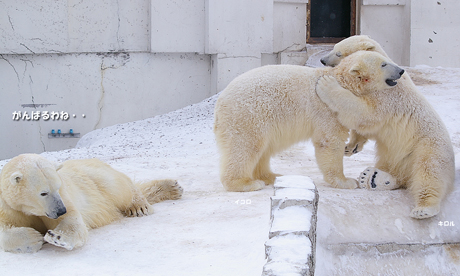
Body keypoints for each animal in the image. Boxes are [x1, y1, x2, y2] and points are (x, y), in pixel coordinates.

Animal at [0, 154, 183, 253]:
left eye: (57, 187)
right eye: (43, 192)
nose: (60, 211)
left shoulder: (65, 196)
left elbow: (73, 220)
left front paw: (57, 236)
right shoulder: (7, 206)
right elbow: (4, 228)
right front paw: (33, 238)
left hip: (95, 177)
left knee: (118, 186)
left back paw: (140, 205)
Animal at [214, 49, 404, 192]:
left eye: (386, 60)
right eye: (383, 64)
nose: (401, 70)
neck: (341, 81)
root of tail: (220, 102)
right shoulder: (327, 111)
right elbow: (329, 141)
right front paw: (347, 181)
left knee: (263, 149)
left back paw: (272, 176)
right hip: (249, 115)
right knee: (246, 146)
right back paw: (246, 183)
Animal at [318, 35, 454, 219]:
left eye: (338, 52)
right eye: (334, 48)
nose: (322, 60)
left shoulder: (387, 96)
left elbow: (364, 112)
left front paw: (326, 85)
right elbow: (364, 126)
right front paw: (350, 147)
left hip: (428, 147)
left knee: (429, 172)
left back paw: (424, 209)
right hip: (393, 155)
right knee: (395, 171)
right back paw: (372, 177)